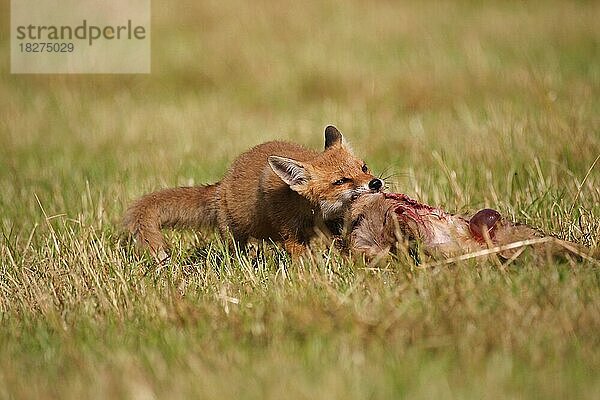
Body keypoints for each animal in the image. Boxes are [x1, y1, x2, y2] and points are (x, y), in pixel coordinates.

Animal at [125, 126, 384, 260]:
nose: (376, 183)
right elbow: (300, 256)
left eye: (363, 168)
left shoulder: (334, 227)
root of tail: (222, 183)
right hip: (234, 235)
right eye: (340, 181)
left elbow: (343, 246)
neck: (314, 212)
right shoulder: (289, 232)